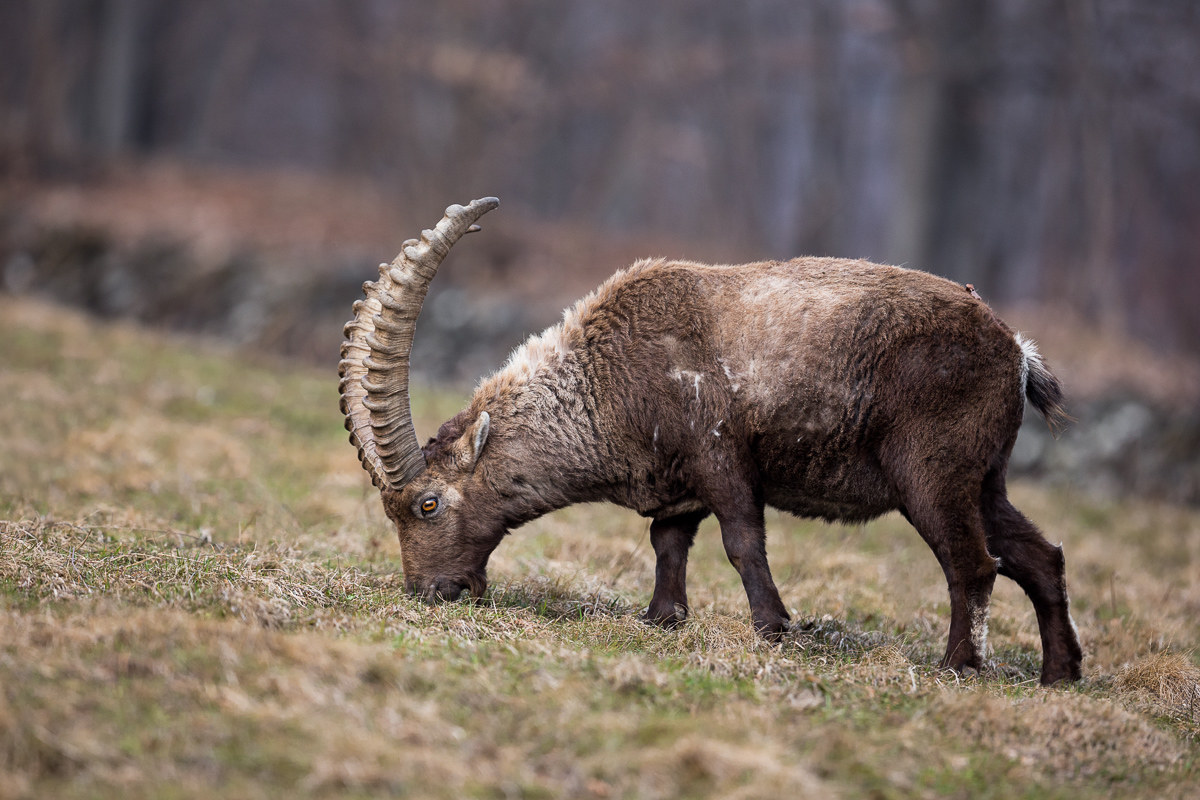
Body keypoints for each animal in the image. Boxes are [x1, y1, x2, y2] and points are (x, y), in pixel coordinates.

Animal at [339, 198, 1083, 685]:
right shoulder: (676, 486)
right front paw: (662, 618)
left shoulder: (720, 456)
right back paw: (1060, 674)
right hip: (985, 478)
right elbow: (668, 543)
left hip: (932, 473)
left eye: (428, 503)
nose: (430, 593)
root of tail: (1016, 353)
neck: (602, 381)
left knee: (974, 564)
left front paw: (775, 628)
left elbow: (741, 541)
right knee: (1039, 556)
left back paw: (958, 667)